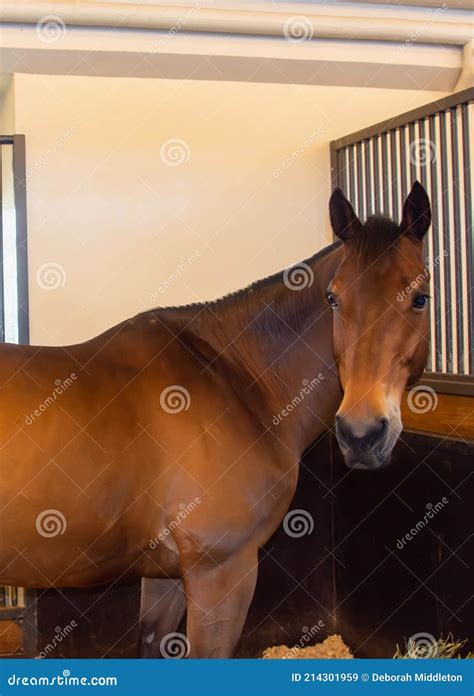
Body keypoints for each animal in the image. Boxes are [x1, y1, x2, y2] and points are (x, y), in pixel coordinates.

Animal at [0, 181, 432, 656]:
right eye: (333, 298)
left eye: (420, 298)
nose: (361, 434)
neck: (238, 378)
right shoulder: (222, 572)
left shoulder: (167, 576)